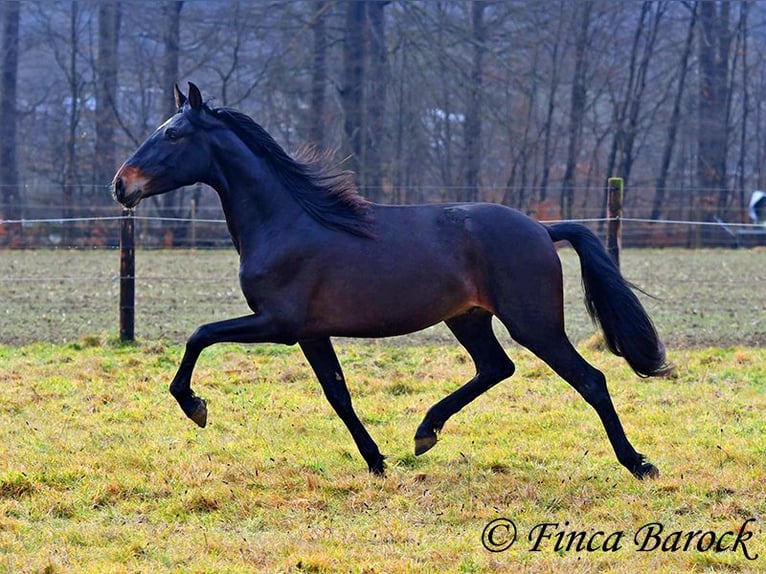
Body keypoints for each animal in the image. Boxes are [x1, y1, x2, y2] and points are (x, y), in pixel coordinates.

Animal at [114, 83, 672, 482]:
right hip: (469, 319)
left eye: (172, 135)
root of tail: (543, 227)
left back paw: (640, 464)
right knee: (496, 367)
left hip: (534, 324)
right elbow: (338, 395)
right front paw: (377, 461)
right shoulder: (311, 333)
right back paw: (425, 432)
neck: (285, 222)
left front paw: (195, 407)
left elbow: (199, 335)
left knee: (589, 380)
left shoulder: (278, 324)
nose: (121, 185)